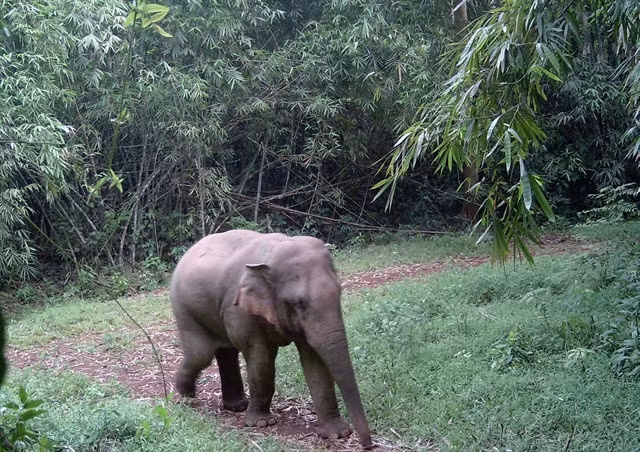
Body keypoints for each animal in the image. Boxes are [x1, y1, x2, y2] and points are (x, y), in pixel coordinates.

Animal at [170, 230, 372, 448]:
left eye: (339, 291)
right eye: (299, 303)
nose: (368, 445)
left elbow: (314, 361)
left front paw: (337, 433)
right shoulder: (239, 309)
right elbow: (261, 358)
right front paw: (261, 423)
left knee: (225, 352)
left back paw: (236, 406)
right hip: (184, 309)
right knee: (201, 355)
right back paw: (186, 398)